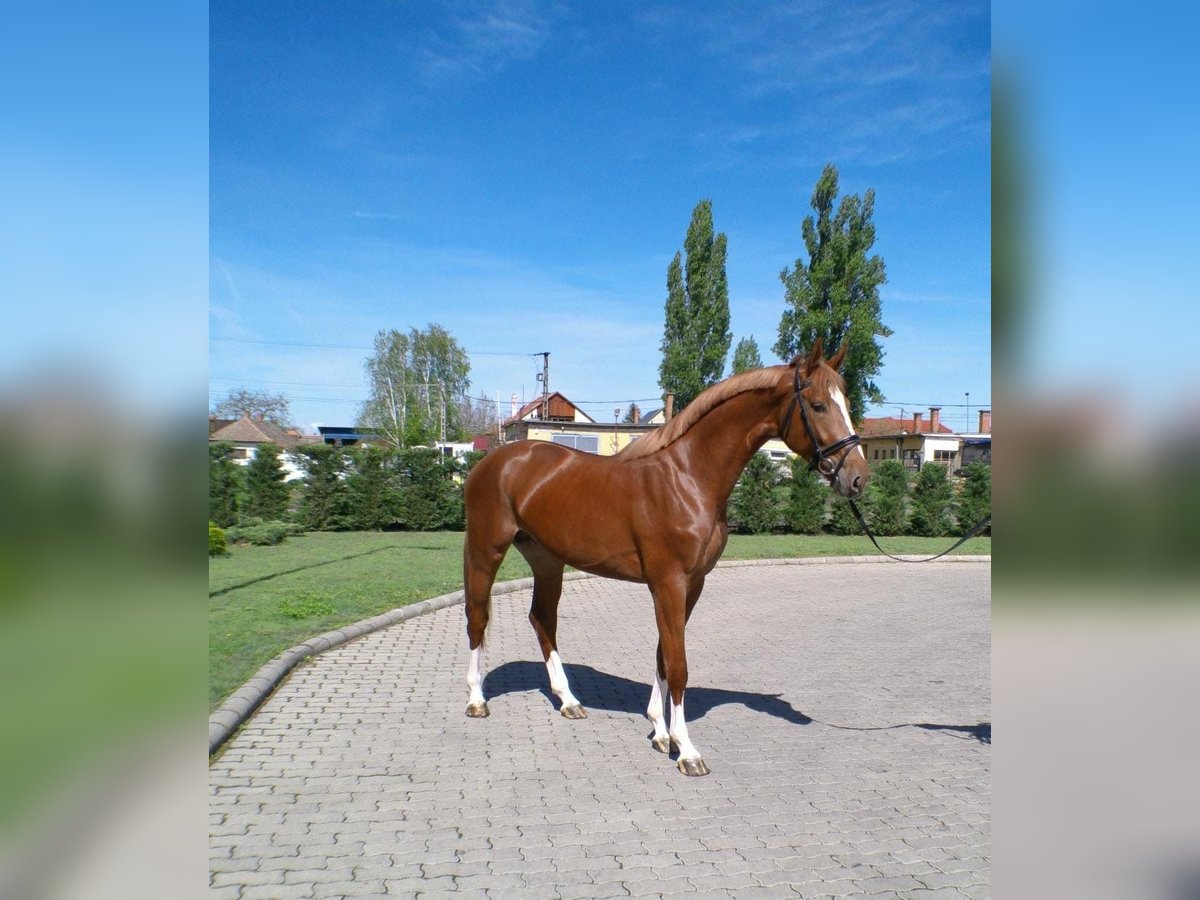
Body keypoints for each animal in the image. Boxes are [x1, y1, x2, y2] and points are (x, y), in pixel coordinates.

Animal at [463, 340, 868, 777]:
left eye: (845, 403)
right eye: (818, 405)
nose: (858, 477)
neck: (688, 478)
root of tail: (496, 461)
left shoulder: (691, 584)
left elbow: (662, 655)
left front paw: (661, 731)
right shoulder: (668, 583)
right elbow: (678, 664)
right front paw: (687, 750)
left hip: (548, 560)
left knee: (542, 619)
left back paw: (569, 701)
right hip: (487, 550)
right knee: (478, 618)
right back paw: (477, 700)